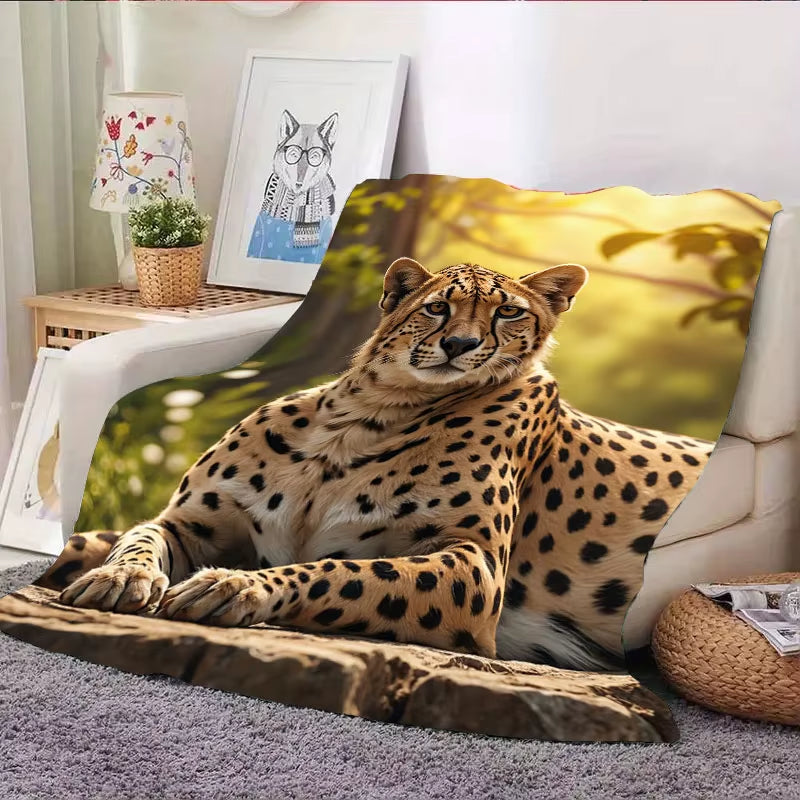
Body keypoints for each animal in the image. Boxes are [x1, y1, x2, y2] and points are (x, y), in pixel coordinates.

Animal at [39, 258, 713, 670]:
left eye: (508, 312)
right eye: (437, 309)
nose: (461, 345)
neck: (369, 415)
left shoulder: (473, 566)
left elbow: (343, 572)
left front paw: (234, 585)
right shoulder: (192, 521)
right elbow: (132, 537)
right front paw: (118, 576)